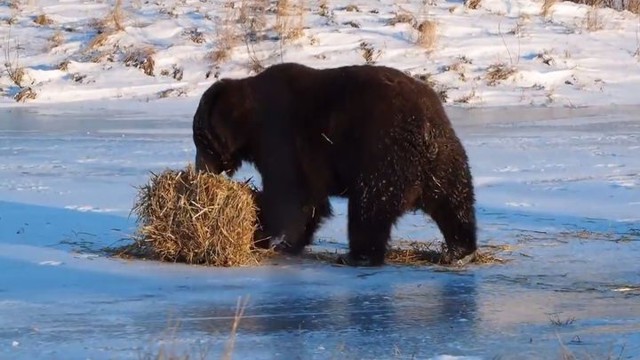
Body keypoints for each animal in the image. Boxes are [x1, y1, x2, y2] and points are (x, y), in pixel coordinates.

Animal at [192, 62, 478, 266]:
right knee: (454, 202)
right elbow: (309, 202)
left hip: (381, 152)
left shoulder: (281, 137)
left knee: (369, 207)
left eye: (200, 140)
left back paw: (357, 256)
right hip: (445, 158)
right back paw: (459, 251)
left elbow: (286, 195)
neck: (249, 123)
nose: (199, 169)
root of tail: (426, 130)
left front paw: (260, 235)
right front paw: (287, 242)